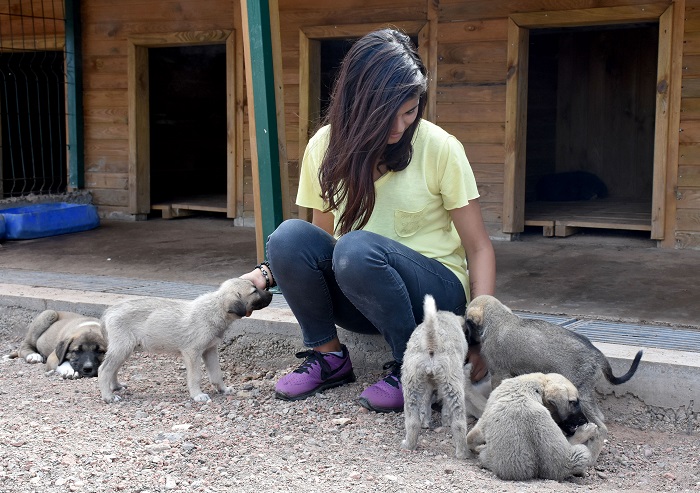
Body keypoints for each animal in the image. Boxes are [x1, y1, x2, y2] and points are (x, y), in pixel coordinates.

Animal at [98, 278, 270, 402]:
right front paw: (197, 395)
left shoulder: (210, 351)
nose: (272, 294)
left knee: (113, 369)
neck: (215, 308)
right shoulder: (192, 353)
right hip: (122, 348)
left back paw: (116, 387)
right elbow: (196, 377)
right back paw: (108, 396)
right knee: (104, 370)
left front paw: (223, 389)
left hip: (124, 350)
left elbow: (216, 373)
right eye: (254, 290)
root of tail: (109, 311)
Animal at [468, 292, 644, 434]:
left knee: (599, 422)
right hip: (587, 394)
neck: (499, 319)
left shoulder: (498, 373)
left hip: (582, 395)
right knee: (600, 415)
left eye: (468, 323)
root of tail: (598, 355)